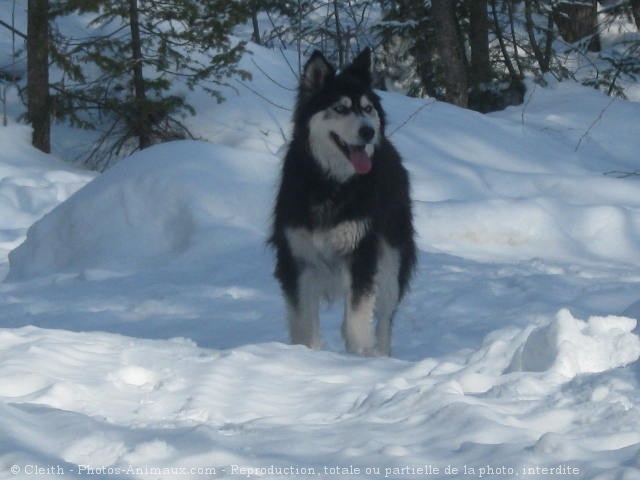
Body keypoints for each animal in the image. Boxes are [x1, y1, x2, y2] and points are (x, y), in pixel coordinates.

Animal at [268, 48, 416, 356]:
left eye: (368, 109)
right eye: (340, 108)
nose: (368, 131)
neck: (331, 184)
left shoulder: (361, 254)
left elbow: (357, 324)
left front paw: (358, 358)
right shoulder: (296, 258)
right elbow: (304, 325)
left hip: (391, 258)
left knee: (384, 319)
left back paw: (381, 356)